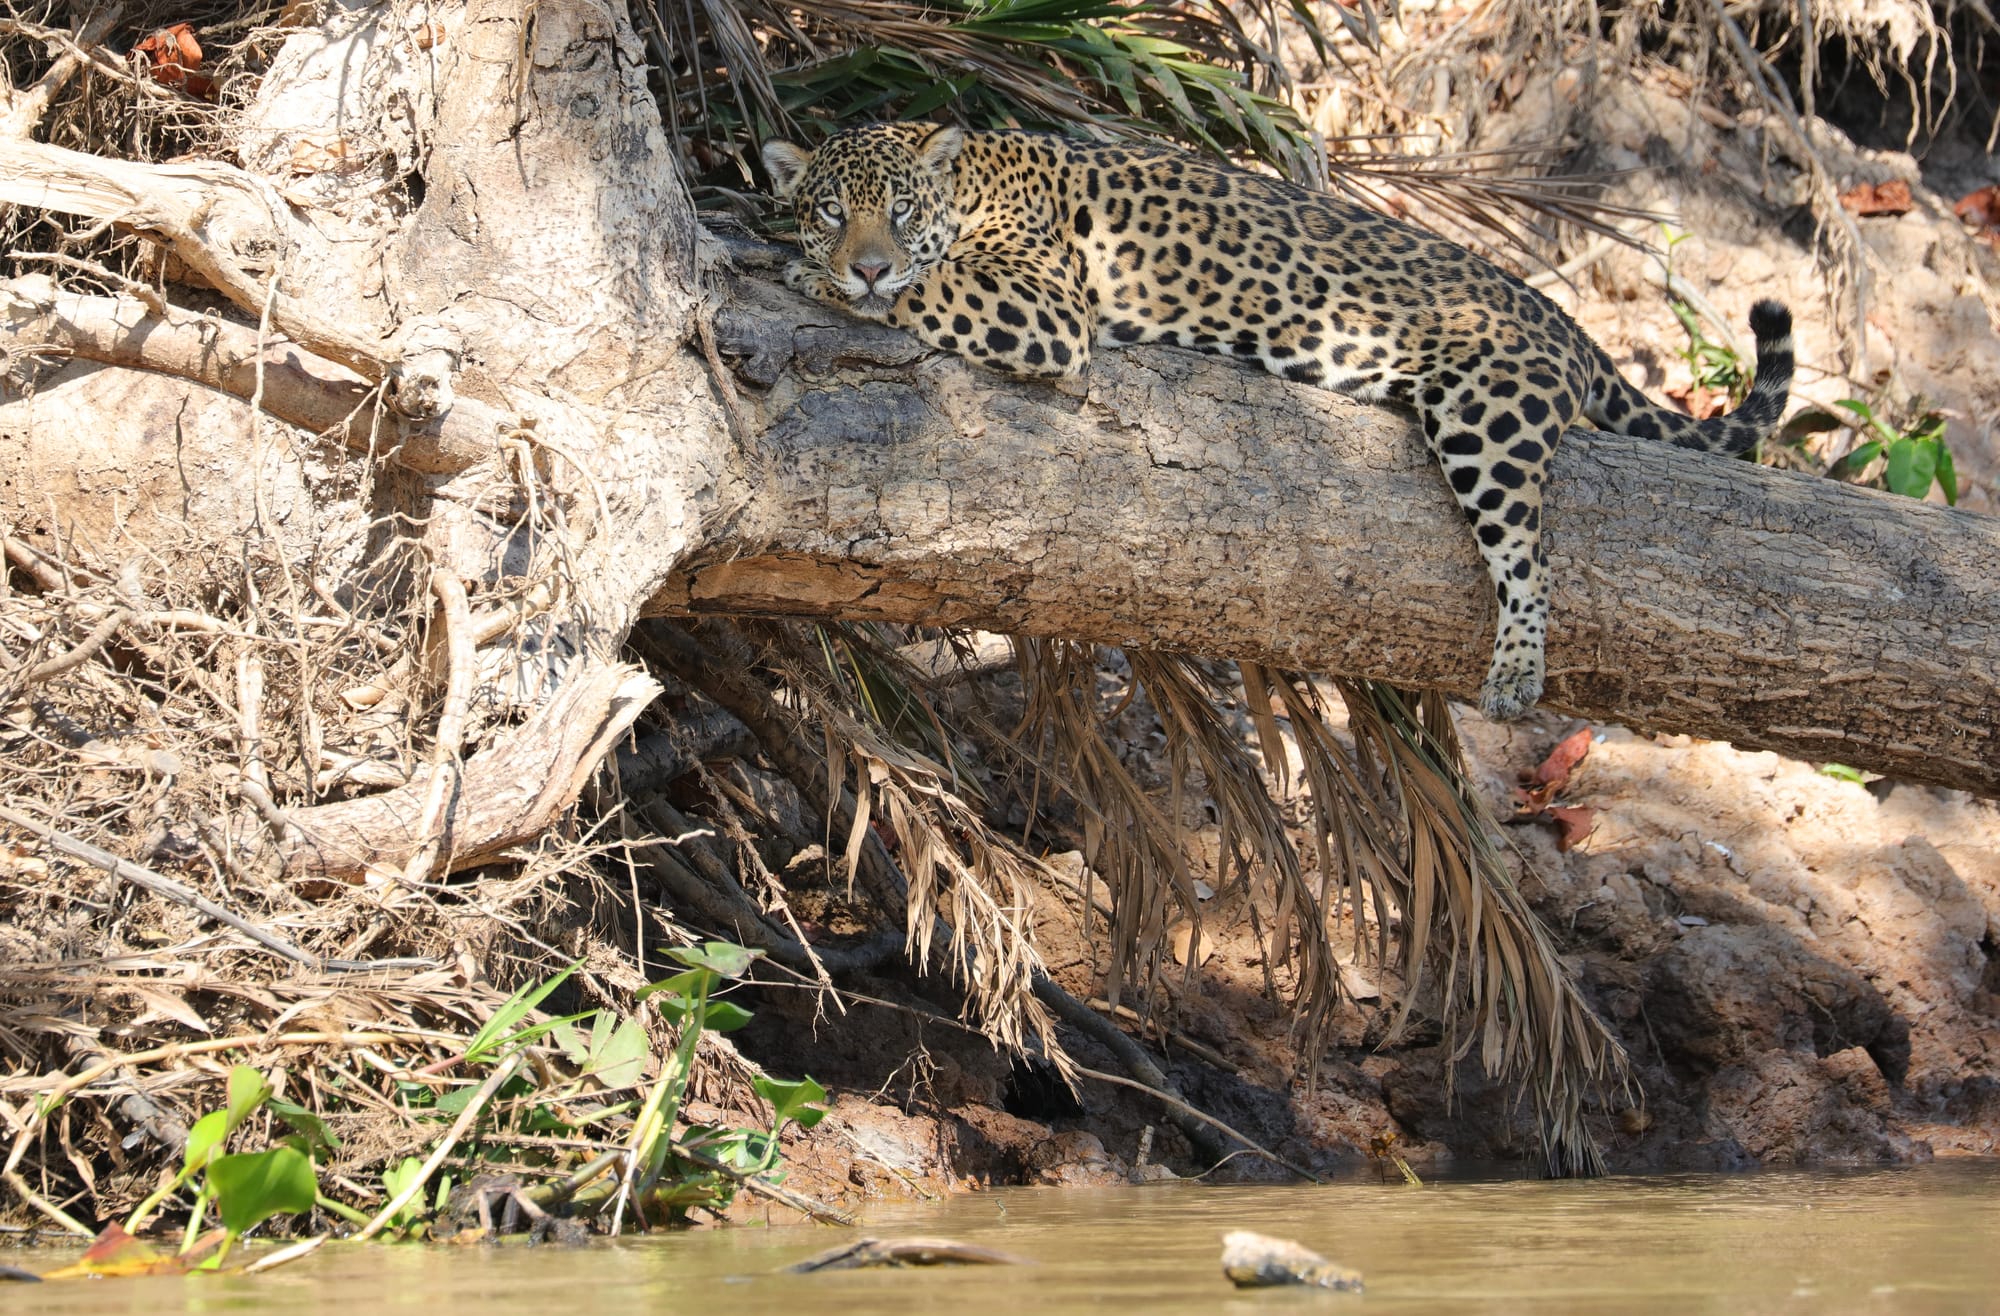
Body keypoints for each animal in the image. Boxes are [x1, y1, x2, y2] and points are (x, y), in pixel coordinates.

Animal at [760, 123, 1795, 721]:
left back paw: (1515, 673)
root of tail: (1561, 317)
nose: (863, 264)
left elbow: (932, 285)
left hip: (1489, 413)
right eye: (829, 209)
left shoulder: (1044, 309)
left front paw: (813, 276)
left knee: (1527, 553)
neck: (970, 175)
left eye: (898, 211)